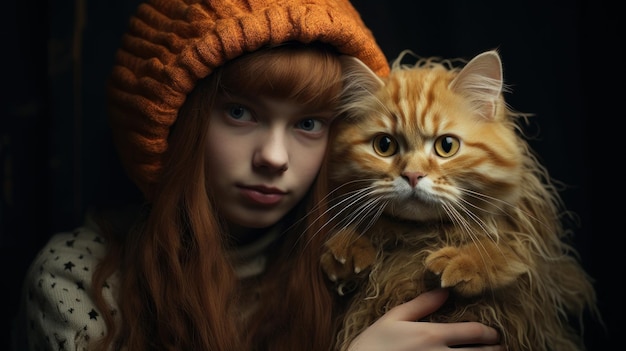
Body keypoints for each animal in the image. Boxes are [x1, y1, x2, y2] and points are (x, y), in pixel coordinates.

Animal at [322, 50, 600, 351]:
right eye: (384, 146)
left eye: (447, 146)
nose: (412, 175)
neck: (421, 237)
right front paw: (351, 248)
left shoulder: (540, 272)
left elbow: (509, 252)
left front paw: (464, 262)